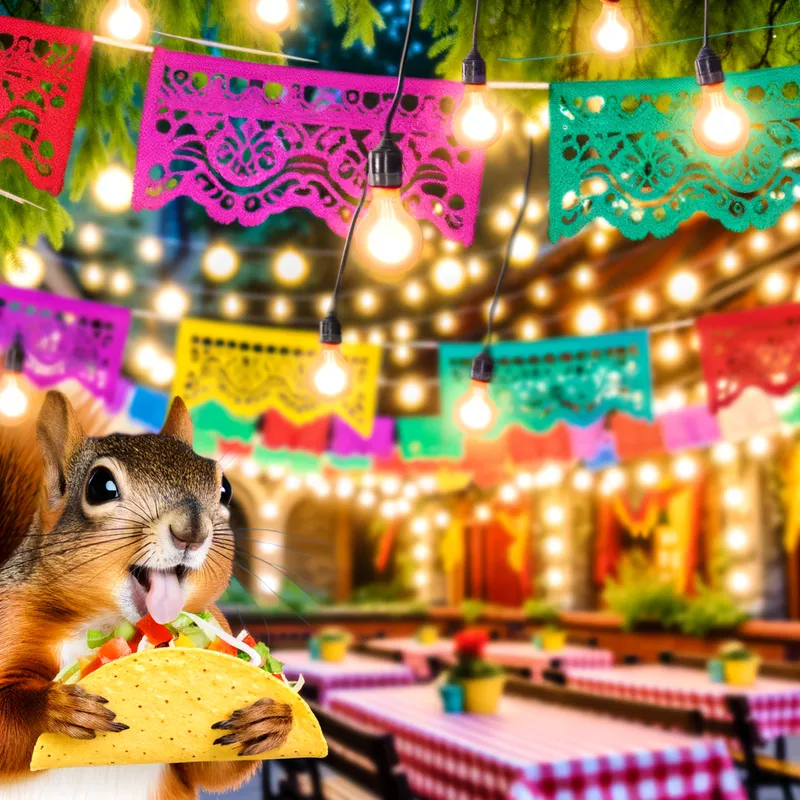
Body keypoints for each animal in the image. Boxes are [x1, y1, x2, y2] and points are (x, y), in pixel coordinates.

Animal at [0, 390, 292, 800]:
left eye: (224, 489)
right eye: (100, 486)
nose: (192, 531)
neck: (105, 621)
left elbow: (213, 770)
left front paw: (270, 718)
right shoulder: (11, 617)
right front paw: (53, 707)